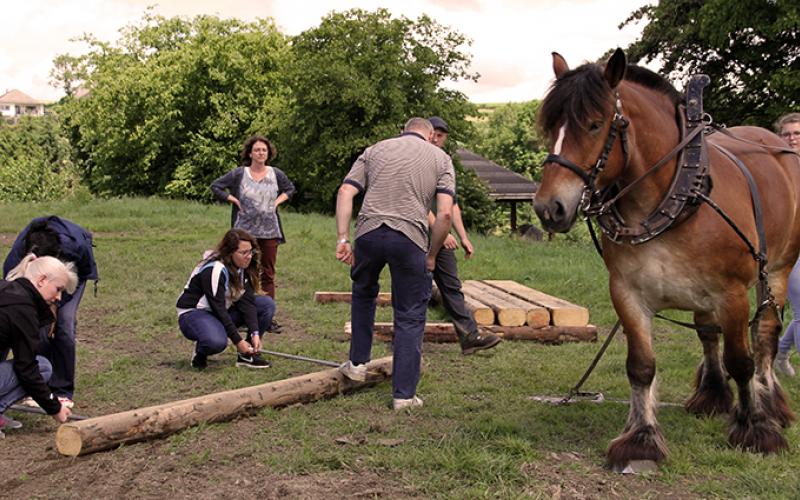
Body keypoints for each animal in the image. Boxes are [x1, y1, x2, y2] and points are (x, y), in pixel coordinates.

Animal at [536, 48, 800, 466]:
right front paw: (642, 439)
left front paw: (755, 429)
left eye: (594, 124)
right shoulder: (627, 292)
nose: (549, 208)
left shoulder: (733, 295)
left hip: (776, 269)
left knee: (765, 336)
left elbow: (740, 360)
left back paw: (770, 402)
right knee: (708, 332)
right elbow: (641, 367)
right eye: (551, 127)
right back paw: (712, 394)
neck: (678, 196)